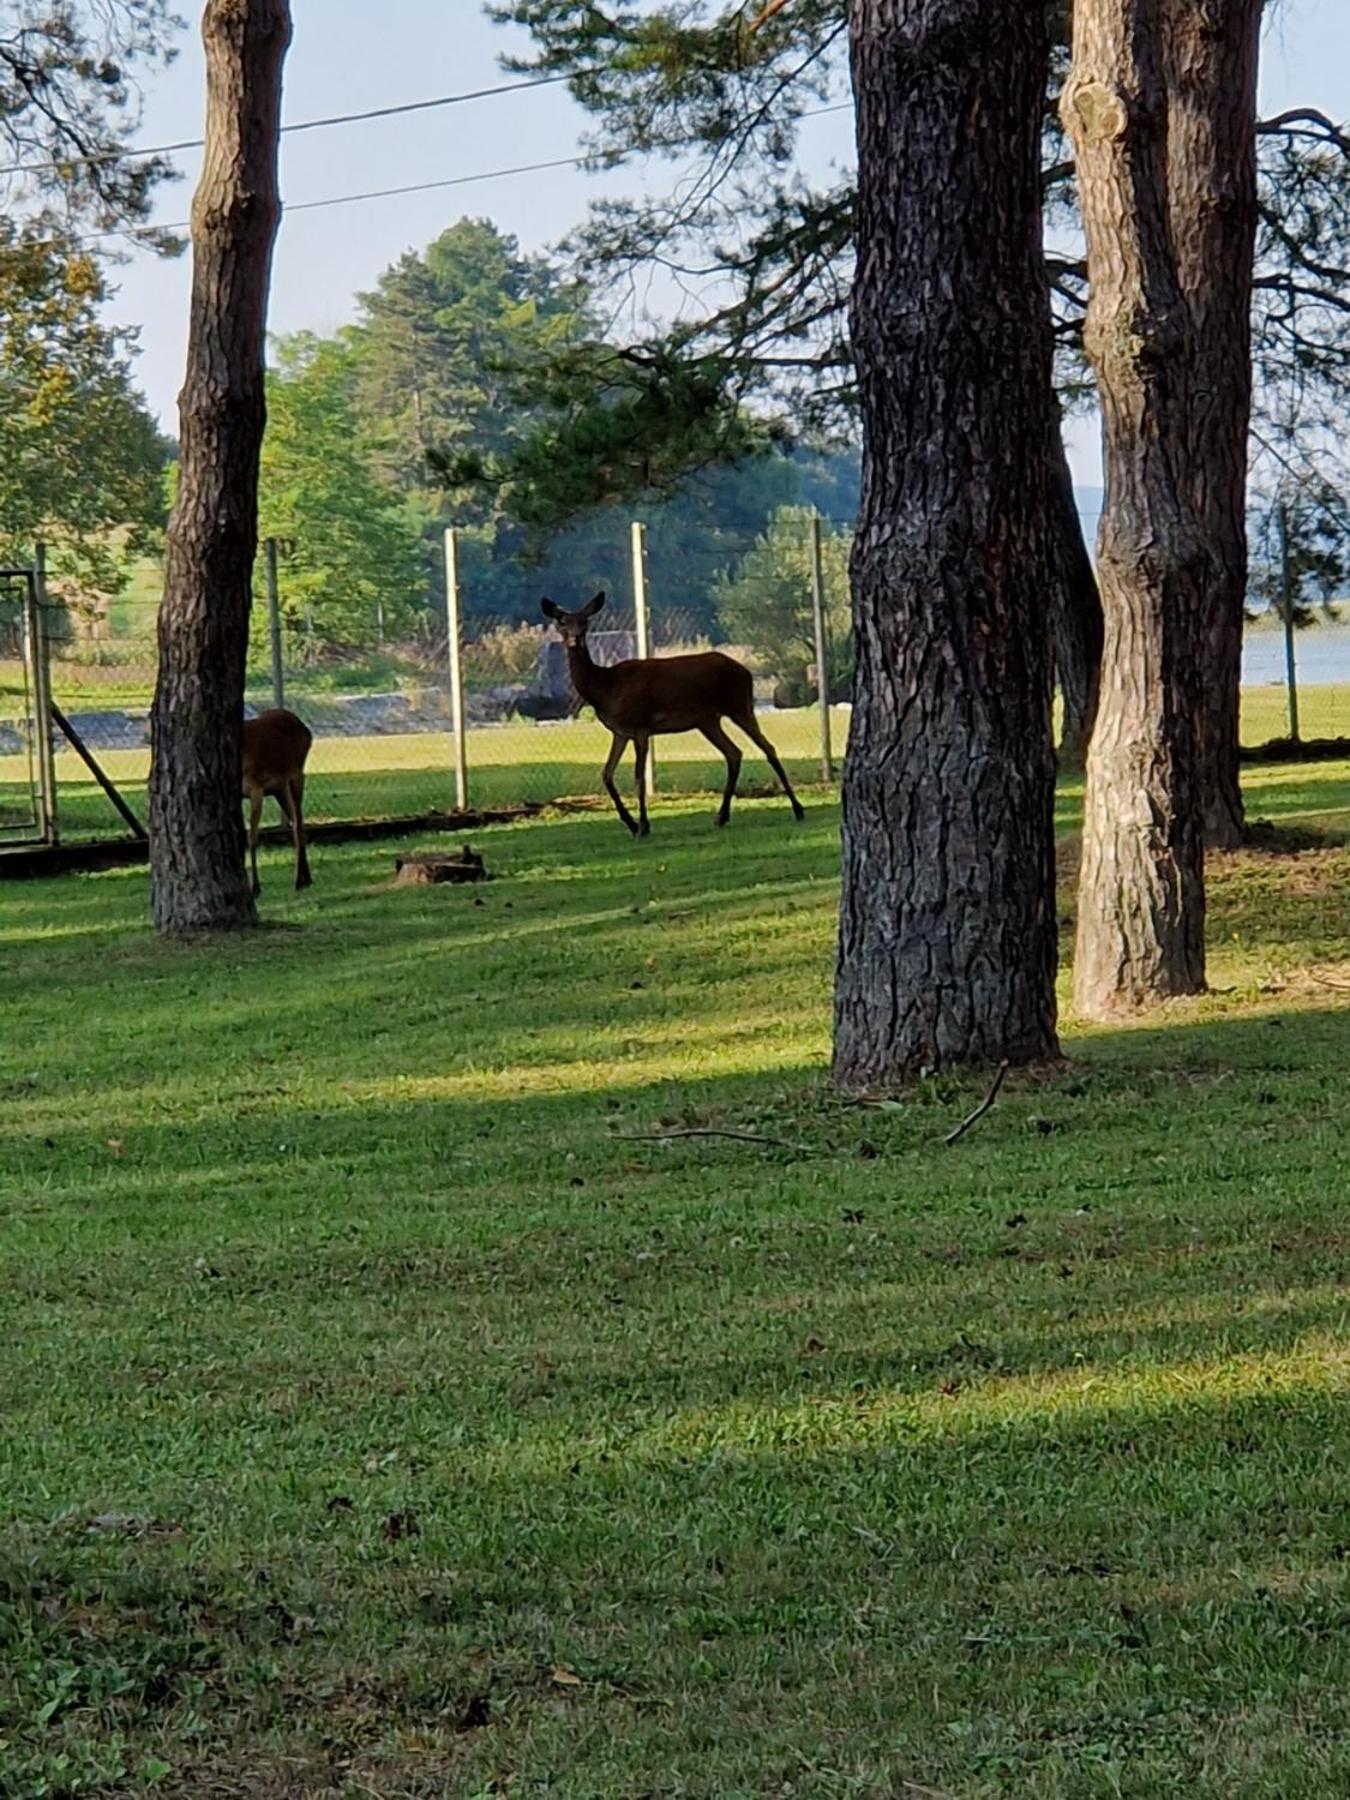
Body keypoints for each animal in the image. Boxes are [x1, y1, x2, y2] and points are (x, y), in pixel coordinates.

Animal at [243, 705, 315, 896]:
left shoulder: (256, 787)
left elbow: (252, 837)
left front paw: (255, 887)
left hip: (297, 774)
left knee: (298, 824)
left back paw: (298, 881)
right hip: (279, 789)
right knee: (297, 823)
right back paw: (307, 878)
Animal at [543, 594, 810, 838]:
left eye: (585, 621)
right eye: (561, 622)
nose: (575, 639)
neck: (605, 688)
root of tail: (746, 671)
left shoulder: (640, 726)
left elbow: (639, 777)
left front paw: (643, 826)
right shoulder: (620, 731)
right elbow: (607, 774)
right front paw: (631, 824)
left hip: (739, 706)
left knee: (767, 748)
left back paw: (798, 810)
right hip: (708, 720)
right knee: (734, 753)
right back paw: (721, 816)